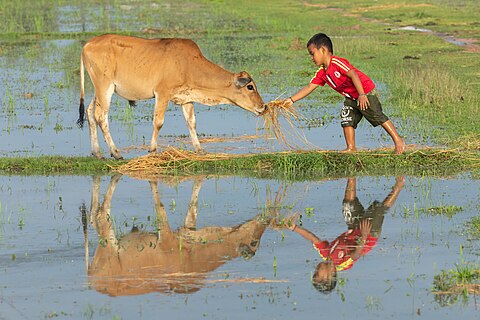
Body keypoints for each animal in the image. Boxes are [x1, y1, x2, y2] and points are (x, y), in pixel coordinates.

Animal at [77, 33, 268, 159]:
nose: (264, 106)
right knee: (101, 117)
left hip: (99, 91)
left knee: (89, 112)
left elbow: (192, 123)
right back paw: (115, 153)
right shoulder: (162, 93)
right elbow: (158, 122)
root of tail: (87, 44)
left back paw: (97, 152)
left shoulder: (187, 99)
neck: (188, 64)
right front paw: (153, 149)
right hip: (105, 88)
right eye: (250, 87)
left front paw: (199, 149)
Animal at [85, 175, 274, 296]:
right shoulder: (166, 236)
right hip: (108, 240)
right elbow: (160, 208)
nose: (267, 218)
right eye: (254, 242)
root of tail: (92, 277)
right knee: (101, 214)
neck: (194, 256)